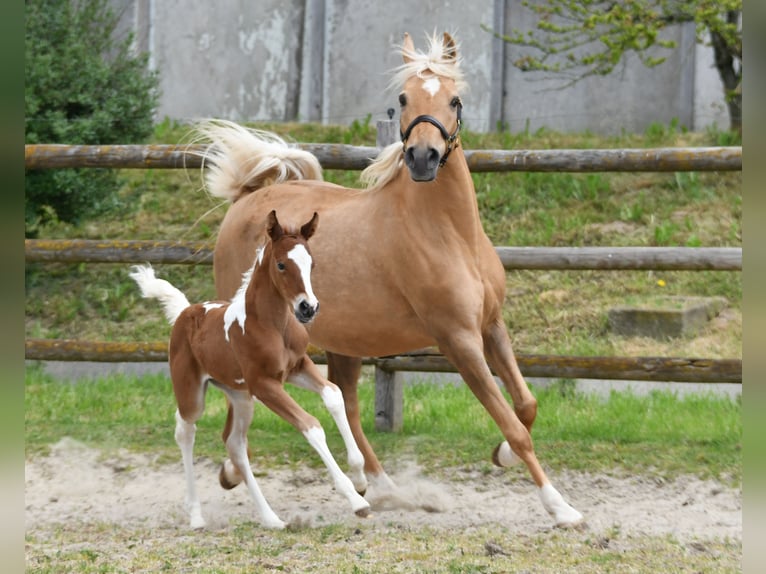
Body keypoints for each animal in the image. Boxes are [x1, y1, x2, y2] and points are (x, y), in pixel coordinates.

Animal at [130, 210, 371, 529]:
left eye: (312, 263)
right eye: (281, 264)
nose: (308, 308)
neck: (271, 324)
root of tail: (185, 312)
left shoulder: (298, 367)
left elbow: (333, 395)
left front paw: (360, 480)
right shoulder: (265, 384)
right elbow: (311, 426)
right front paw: (355, 499)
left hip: (241, 396)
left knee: (235, 444)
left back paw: (271, 518)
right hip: (193, 392)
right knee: (185, 430)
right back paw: (196, 515)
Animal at [193, 32, 583, 527]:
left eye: (454, 99)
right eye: (403, 99)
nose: (422, 158)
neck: (449, 233)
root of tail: (247, 198)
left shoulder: (491, 326)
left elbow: (526, 406)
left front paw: (501, 457)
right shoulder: (458, 340)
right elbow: (513, 425)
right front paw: (560, 506)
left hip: (343, 343)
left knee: (347, 402)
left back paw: (375, 485)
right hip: (253, 338)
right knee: (246, 406)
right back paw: (235, 472)